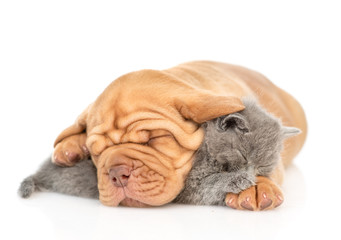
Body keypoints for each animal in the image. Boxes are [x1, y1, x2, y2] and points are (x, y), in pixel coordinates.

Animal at [19, 98, 300, 205]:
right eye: (243, 158)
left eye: (264, 167)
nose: (252, 172)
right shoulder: (188, 186)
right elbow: (210, 184)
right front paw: (238, 180)